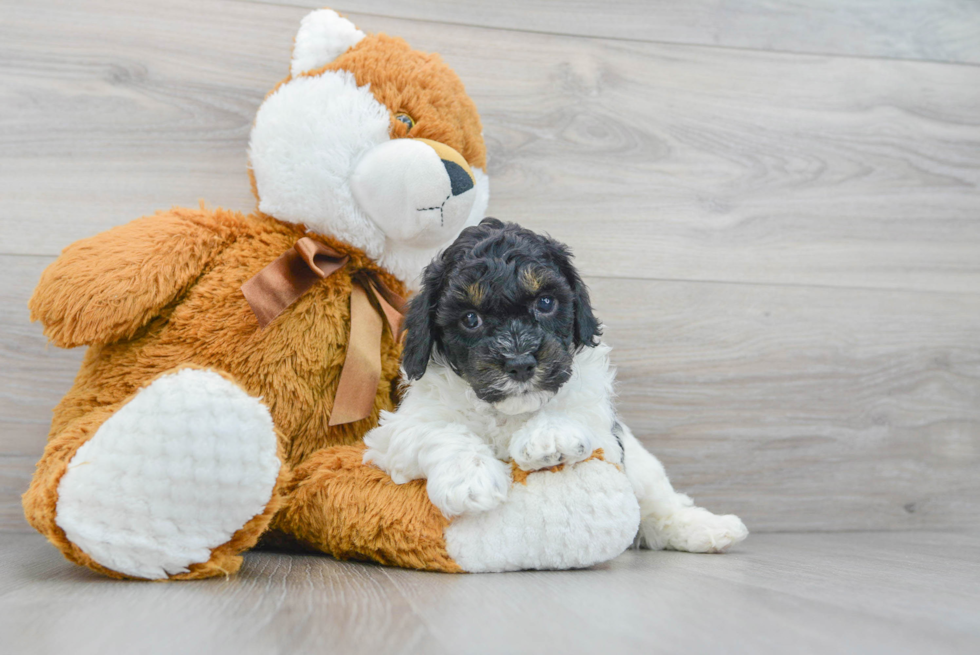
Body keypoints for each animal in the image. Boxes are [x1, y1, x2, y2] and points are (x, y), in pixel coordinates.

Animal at [364, 219, 748, 552]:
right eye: (470, 318)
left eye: (545, 302)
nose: (520, 364)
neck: (508, 413)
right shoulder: (396, 429)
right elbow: (438, 431)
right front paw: (471, 479)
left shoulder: (604, 429)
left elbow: (572, 407)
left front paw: (549, 437)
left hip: (643, 467)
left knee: (661, 507)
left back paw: (711, 529)